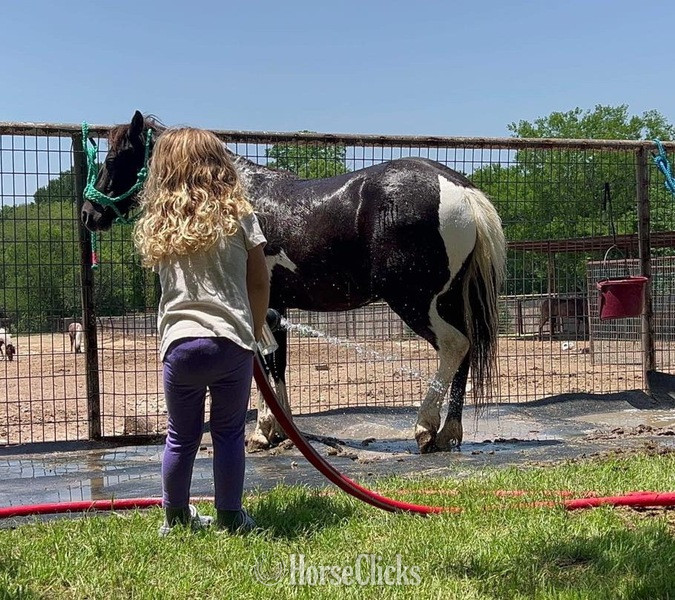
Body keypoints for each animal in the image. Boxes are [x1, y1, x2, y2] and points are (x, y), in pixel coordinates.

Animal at [81, 111, 506, 453]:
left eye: (113, 158)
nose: (88, 213)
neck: (233, 197)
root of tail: (460, 188)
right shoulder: (276, 306)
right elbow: (278, 363)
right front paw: (281, 432)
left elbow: (267, 366)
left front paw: (262, 432)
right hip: (445, 298)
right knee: (466, 350)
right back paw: (449, 432)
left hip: (415, 300)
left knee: (454, 346)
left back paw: (425, 428)